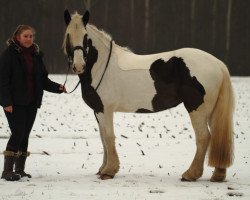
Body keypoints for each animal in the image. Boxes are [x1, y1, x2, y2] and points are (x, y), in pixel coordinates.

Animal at [62, 9, 234, 181]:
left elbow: (109, 137)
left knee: (203, 137)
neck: (102, 66)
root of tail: (218, 63)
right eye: (68, 35)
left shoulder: (105, 110)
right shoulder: (98, 111)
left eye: (85, 37)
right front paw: (102, 168)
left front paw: (109, 171)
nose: (79, 66)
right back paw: (218, 174)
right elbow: (103, 138)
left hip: (196, 109)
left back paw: (190, 174)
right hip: (210, 111)